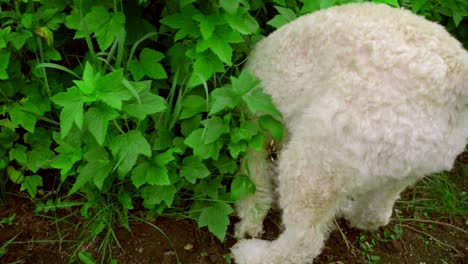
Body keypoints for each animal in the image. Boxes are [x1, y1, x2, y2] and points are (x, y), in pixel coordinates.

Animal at [231, 2, 468, 264]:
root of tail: (456, 81)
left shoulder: (258, 131)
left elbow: (253, 178)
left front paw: (249, 220)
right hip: (407, 169)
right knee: (379, 211)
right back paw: (353, 213)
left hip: (316, 163)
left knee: (304, 241)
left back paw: (252, 254)